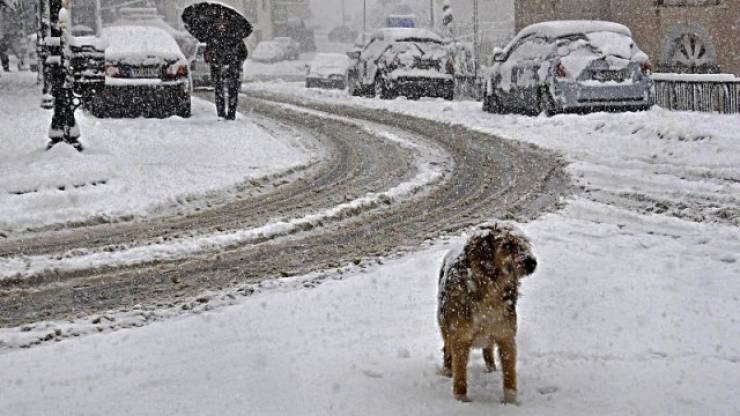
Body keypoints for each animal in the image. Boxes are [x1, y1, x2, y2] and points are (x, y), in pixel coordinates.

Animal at [436, 224, 536, 404]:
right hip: (445, 326)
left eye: (524, 244)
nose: (533, 263)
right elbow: (460, 373)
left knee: (487, 349)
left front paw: (510, 401)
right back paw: (447, 370)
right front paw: (461, 399)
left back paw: (491, 368)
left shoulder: (506, 336)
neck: (490, 288)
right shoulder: (460, 338)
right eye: (508, 245)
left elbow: (509, 372)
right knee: (446, 348)